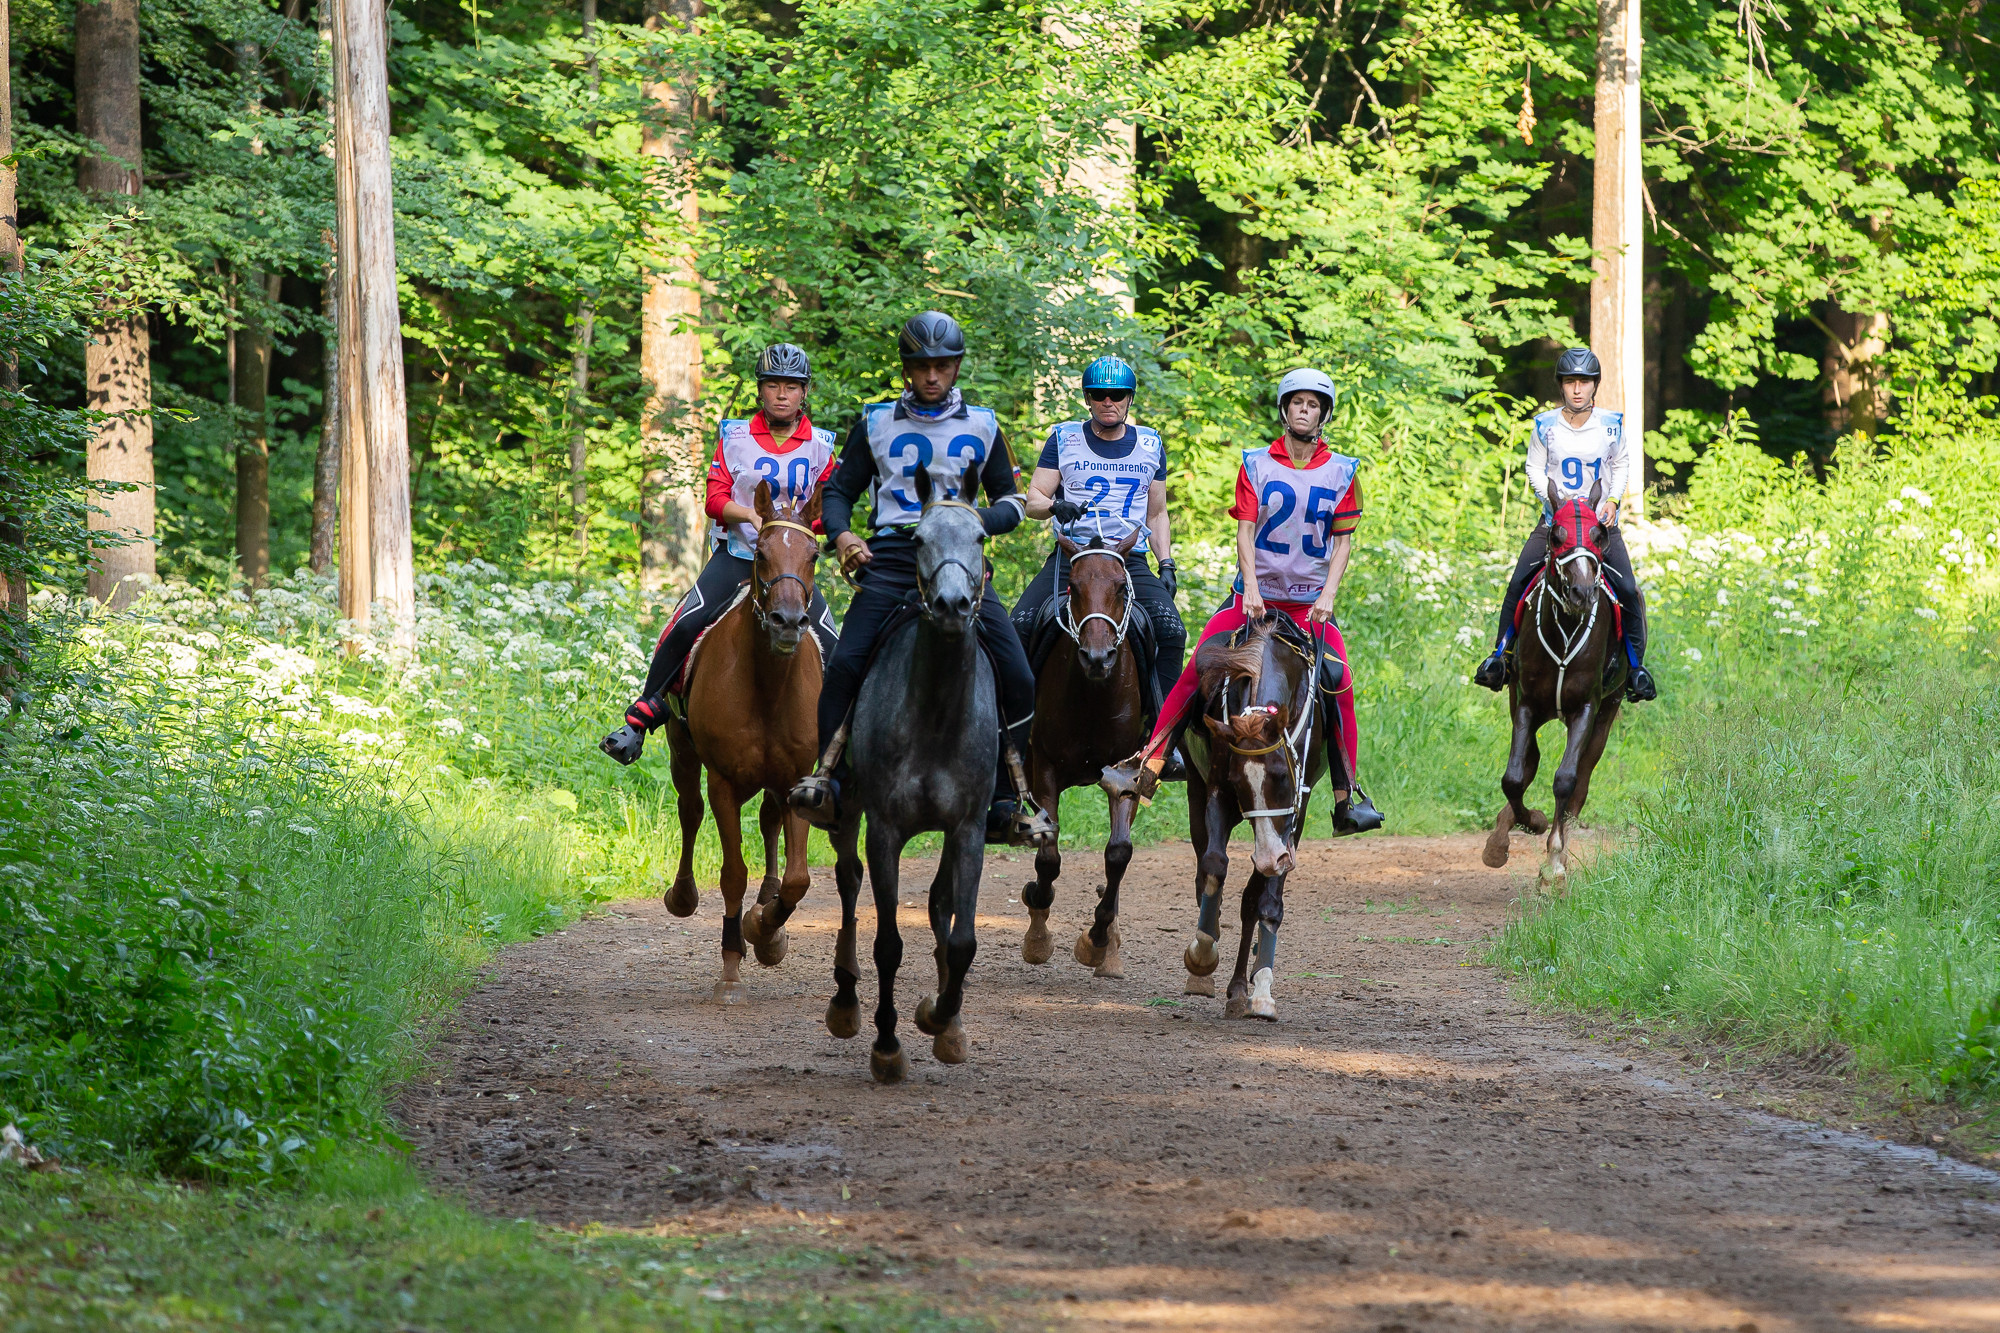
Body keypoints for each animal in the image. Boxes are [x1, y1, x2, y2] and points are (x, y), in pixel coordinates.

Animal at [668, 478, 824, 996]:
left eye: (814, 554)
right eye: (760, 554)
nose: (788, 622)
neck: (767, 686)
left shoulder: (798, 777)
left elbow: (798, 879)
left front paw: (766, 929)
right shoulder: (723, 780)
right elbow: (733, 873)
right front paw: (732, 964)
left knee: (771, 822)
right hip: (681, 751)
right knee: (690, 810)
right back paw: (682, 895)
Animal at [816, 462, 996, 1088]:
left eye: (981, 537)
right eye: (917, 540)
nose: (951, 605)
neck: (936, 716)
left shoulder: (968, 829)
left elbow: (962, 939)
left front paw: (942, 1021)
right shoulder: (885, 831)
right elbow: (888, 943)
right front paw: (888, 1045)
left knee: (940, 904)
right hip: (845, 815)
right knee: (848, 885)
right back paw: (846, 1003)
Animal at [1024, 528, 1152, 976]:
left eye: (1120, 587)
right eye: (1073, 587)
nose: (1097, 657)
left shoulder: (1126, 772)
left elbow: (1118, 853)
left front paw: (1096, 940)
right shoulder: (1043, 765)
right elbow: (1047, 856)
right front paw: (1037, 933)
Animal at [1176, 612, 1320, 1016]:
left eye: (1283, 776)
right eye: (1239, 781)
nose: (1270, 857)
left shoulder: (1294, 815)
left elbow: (1265, 901)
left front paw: (1262, 991)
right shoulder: (1217, 792)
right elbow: (1213, 866)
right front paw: (1202, 953)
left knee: (1250, 900)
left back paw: (1242, 986)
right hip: (1196, 795)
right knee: (1206, 876)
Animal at [1488, 480, 1624, 880]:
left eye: (1599, 535)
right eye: (1556, 536)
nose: (1581, 592)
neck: (1564, 626)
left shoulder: (1586, 707)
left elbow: (1567, 780)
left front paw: (1554, 863)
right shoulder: (1526, 703)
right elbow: (1513, 777)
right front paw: (1527, 823)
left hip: (1609, 709)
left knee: (1582, 778)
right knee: (1528, 762)